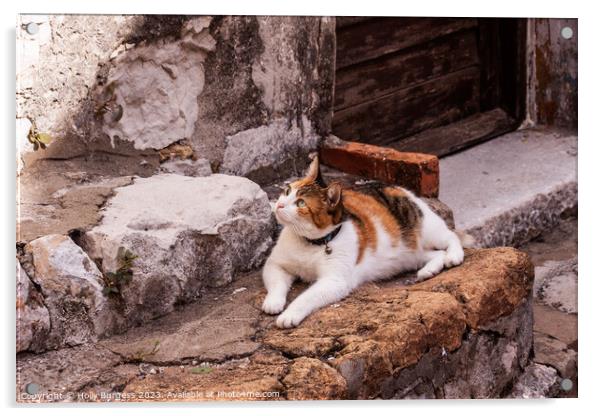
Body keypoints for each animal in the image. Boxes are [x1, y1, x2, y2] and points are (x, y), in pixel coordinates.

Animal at [262, 154, 468, 326]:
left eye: (301, 203)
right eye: (287, 191)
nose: (279, 205)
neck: (310, 243)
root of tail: (393, 185)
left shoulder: (335, 281)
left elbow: (306, 297)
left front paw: (289, 315)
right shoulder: (275, 263)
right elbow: (276, 281)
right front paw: (273, 302)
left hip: (428, 229)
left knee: (451, 236)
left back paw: (454, 256)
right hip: (410, 254)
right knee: (435, 254)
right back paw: (429, 270)